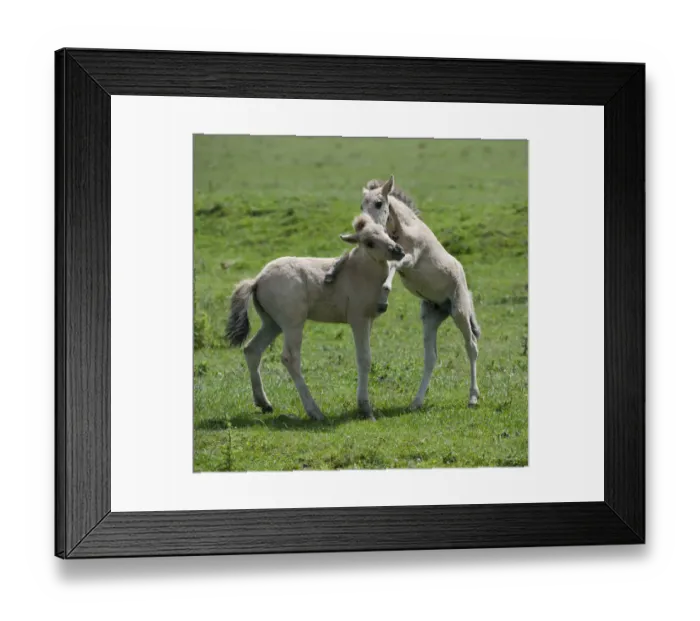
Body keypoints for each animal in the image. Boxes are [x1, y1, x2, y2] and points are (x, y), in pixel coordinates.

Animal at [226, 213, 405, 421]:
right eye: (369, 243)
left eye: (385, 232)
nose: (398, 250)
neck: (359, 271)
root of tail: (256, 281)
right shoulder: (358, 319)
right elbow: (364, 358)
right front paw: (365, 408)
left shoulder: (369, 320)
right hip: (293, 324)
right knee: (290, 358)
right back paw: (314, 411)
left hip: (272, 324)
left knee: (252, 350)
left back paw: (264, 403)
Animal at [325, 176, 481, 408]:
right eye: (362, 205)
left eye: (379, 203)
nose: (363, 226)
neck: (404, 229)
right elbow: (351, 254)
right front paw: (331, 272)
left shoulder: (410, 257)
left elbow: (393, 265)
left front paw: (384, 294)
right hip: (430, 317)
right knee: (431, 357)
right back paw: (416, 401)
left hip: (460, 311)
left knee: (471, 346)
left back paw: (472, 397)